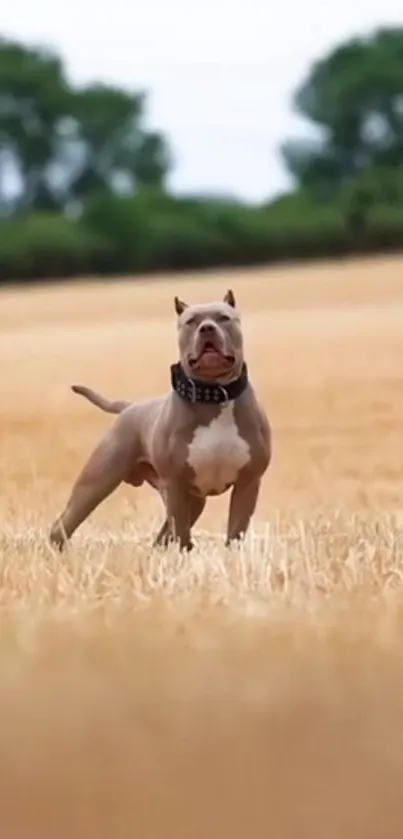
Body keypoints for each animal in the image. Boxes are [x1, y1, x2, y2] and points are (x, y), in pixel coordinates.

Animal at [49, 292, 272, 556]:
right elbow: (182, 533)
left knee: (162, 537)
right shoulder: (175, 484)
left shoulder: (248, 482)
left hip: (194, 499)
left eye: (224, 318)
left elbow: (235, 530)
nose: (207, 328)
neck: (213, 394)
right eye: (191, 321)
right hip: (97, 481)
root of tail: (129, 407)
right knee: (65, 522)